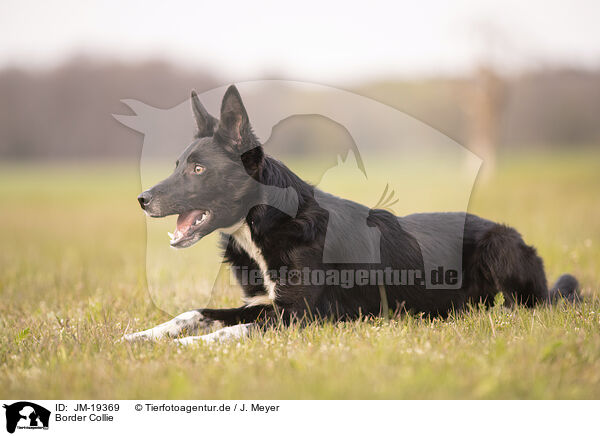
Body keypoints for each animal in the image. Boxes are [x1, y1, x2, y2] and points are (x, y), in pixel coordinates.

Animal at [123, 85, 580, 344]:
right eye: (177, 165)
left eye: (198, 170)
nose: (142, 199)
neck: (269, 222)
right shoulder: (266, 304)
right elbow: (195, 314)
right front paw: (144, 335)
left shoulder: (302, 316)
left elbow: (232, 331)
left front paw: (186, 348)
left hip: (499, 245)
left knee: (520, 306)